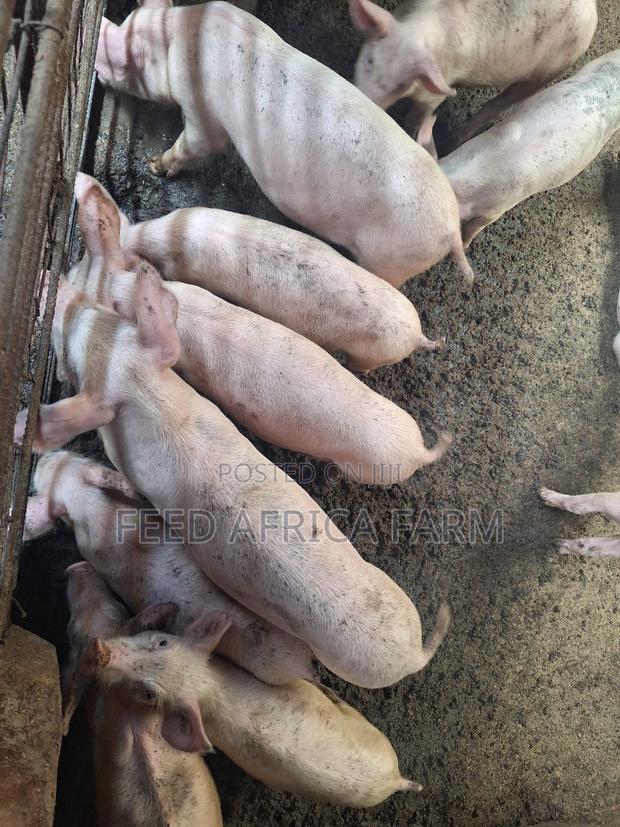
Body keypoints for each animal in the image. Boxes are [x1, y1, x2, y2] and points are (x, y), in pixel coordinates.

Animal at [95, 1, 474, 287]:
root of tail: (450, 229)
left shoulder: (199, 107)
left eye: (125, 61)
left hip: (389, 259)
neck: (176, 36)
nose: (99, 71)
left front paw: (155, 166)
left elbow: (199, 143)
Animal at [351, 0, 598, 157]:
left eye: (401, 85)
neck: (420, 30)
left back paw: (451, 144)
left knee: (497, 104)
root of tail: (593, 11)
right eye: (370, 60)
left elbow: (417, 116)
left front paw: (409, 133)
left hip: (545, 74)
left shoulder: (435, 92)